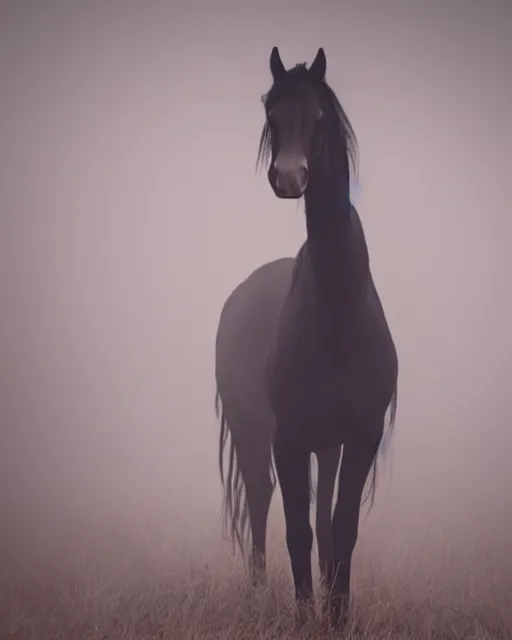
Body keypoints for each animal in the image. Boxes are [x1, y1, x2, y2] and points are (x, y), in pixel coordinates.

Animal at [214, 46, 398, 632]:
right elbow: (296, 529)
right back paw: (257, 593)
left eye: (318, 116)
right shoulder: (289, 436)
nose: (290, 176)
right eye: (271, 112)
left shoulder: (359, 435)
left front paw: (338, 616)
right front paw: (302, 616)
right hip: (255, 432)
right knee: (259, 501)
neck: (336, 316)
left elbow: (341, 529)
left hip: (328, 444)